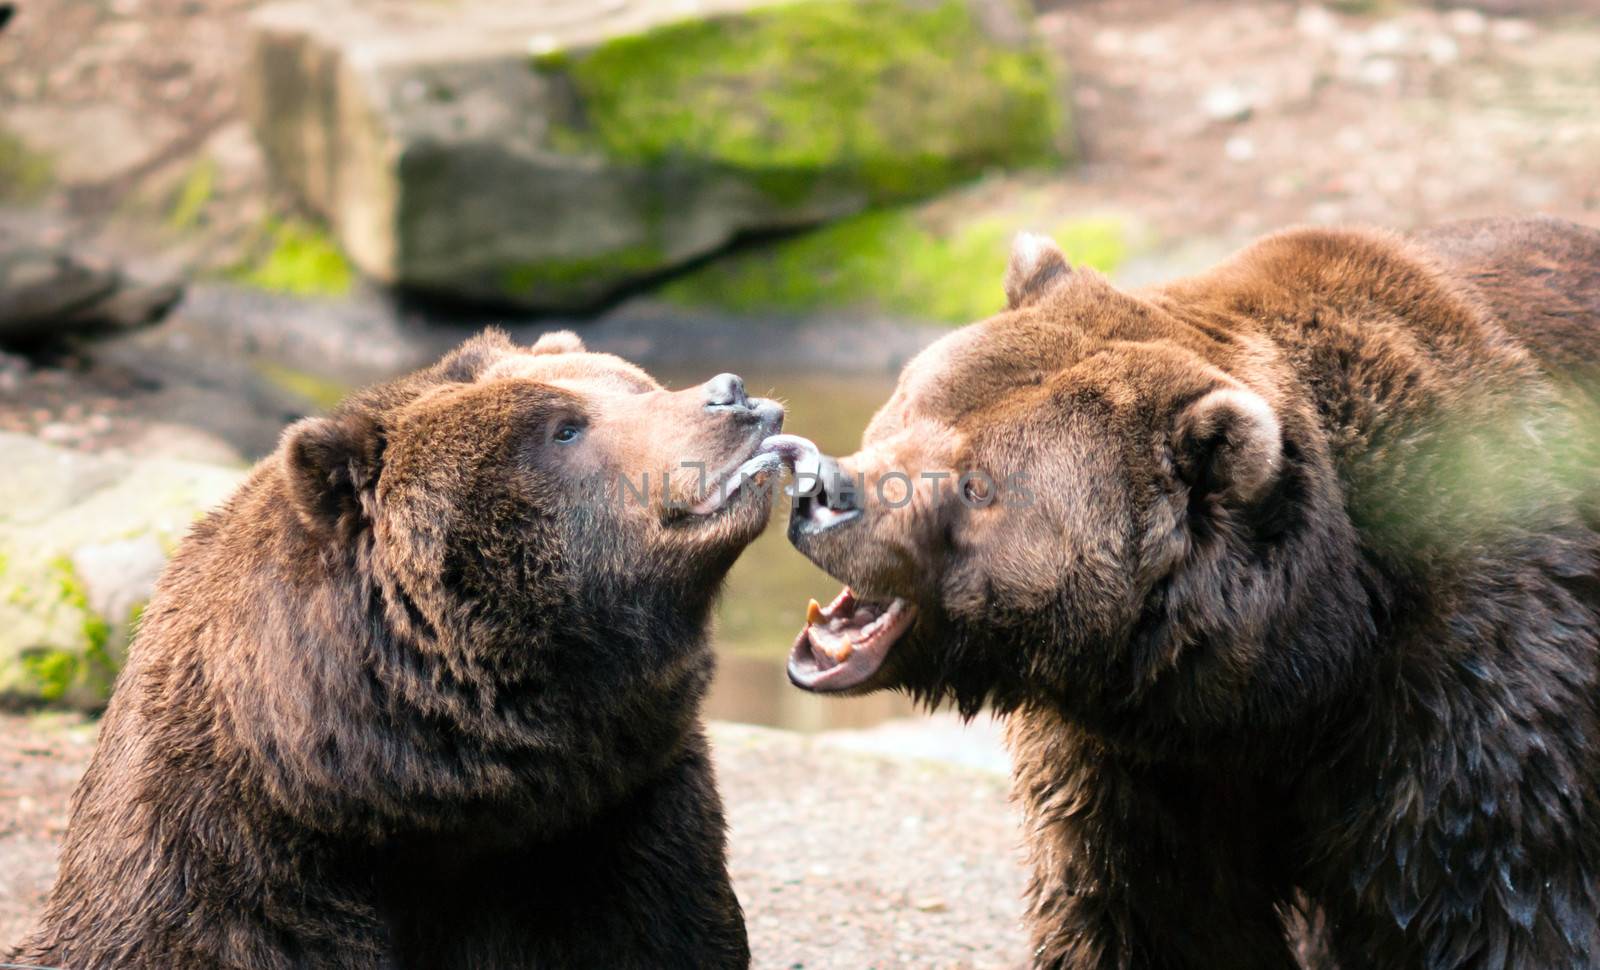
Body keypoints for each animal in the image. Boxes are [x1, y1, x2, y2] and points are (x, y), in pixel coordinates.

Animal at [780, 216, 1593, 966]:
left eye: (979, 484)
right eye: (911, 406)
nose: (824, 491)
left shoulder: (1462, 695)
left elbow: (1497, 903)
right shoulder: (1138, 767)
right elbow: (1153, 915)